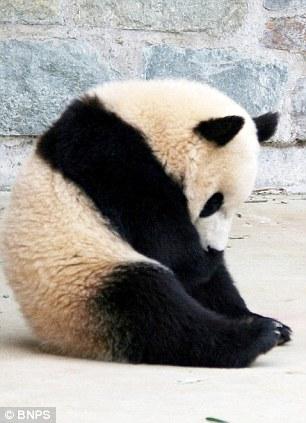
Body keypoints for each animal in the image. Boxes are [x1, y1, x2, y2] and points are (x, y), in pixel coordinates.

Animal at [0, 78, 292, 368]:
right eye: (213, 203)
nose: (214, 249)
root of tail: (54, 337)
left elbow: (204, 278)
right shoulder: (110, 160)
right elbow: (164, 242)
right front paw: (200, 260)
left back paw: (269, 324)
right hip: (83, 280)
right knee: (155, 311)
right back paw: (254, 337)